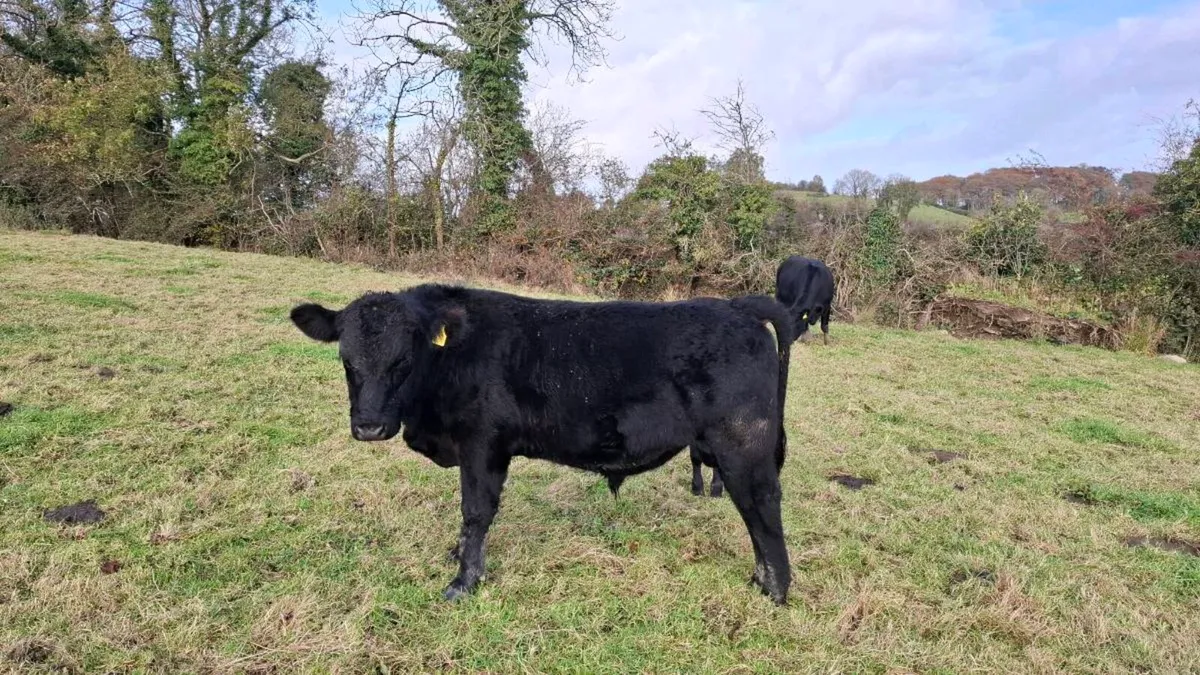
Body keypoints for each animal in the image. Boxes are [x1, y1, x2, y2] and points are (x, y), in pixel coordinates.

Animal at [290, 283, 794, 605]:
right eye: (346, 360)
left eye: (404, 359)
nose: (370, 427)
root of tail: (737, 307)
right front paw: (458, 555)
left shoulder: (482, 445)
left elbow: (476, 511)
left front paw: (464, 581)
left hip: (743, 446)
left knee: (762, 510)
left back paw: (774, 589)